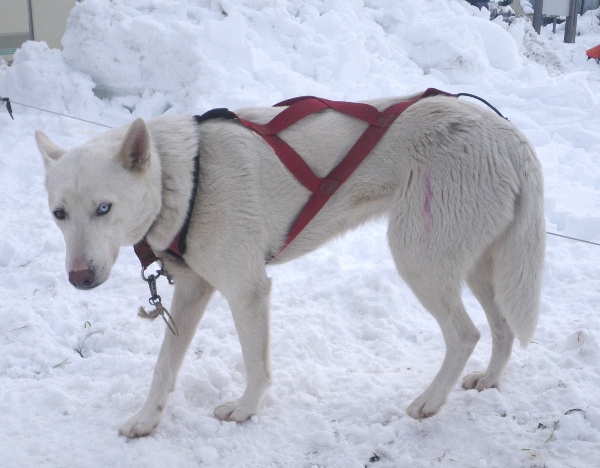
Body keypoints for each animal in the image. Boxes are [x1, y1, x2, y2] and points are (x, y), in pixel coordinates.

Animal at [36, 92, 544, 438]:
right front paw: (146, 421)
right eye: (58, 214)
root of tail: (512, 135)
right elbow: (164, 368)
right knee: (501, 328)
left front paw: (245, 411)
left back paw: (430, 402)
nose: (79, 278)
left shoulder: (247, 290)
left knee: (466, 334)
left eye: (104, 208)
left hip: (420, 262)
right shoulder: (193, 292)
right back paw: (489, 380)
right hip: (478, 268)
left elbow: (255, 366)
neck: (184, 179)